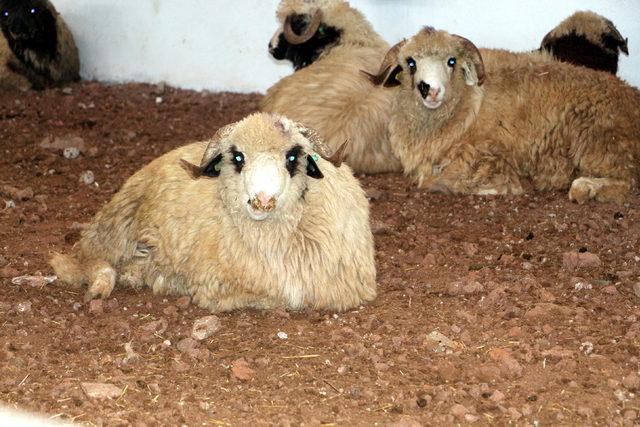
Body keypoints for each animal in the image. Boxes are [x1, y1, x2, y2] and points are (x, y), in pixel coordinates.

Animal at [53, 113, 380, 314]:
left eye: (292, 157)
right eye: (237, 157)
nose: (262, 201)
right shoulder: (216, 286)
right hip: (113, 226)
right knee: (86, 263)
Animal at [364, 27, 640, 205]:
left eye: (452, 61)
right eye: (410, 62)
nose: (428, 88)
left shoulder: (487, 156)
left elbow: (444, 180)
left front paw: (507, 186)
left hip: (599, 141)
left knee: (628, 180)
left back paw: (584, 188)